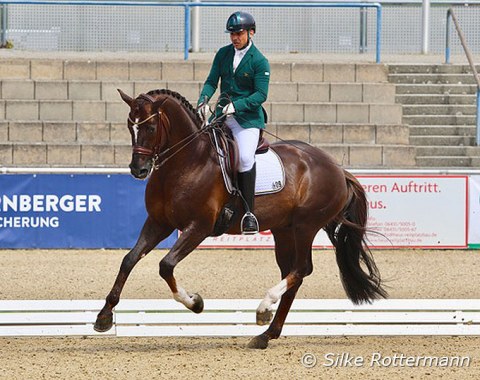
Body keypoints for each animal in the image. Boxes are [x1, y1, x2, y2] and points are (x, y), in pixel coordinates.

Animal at [93, 88, 386, 348]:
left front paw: (195, 303)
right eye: (129, 126)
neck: (187, 161)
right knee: (292, 273)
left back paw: (264, 308)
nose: (138, 169)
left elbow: (166, 265)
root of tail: (337, 168)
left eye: (151, 128)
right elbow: (129, 260)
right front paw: (104, 316)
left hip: (306, 226)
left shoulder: (199, 227)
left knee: (302, 269)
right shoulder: (158, 223)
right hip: (284, 230)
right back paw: (266, 333)